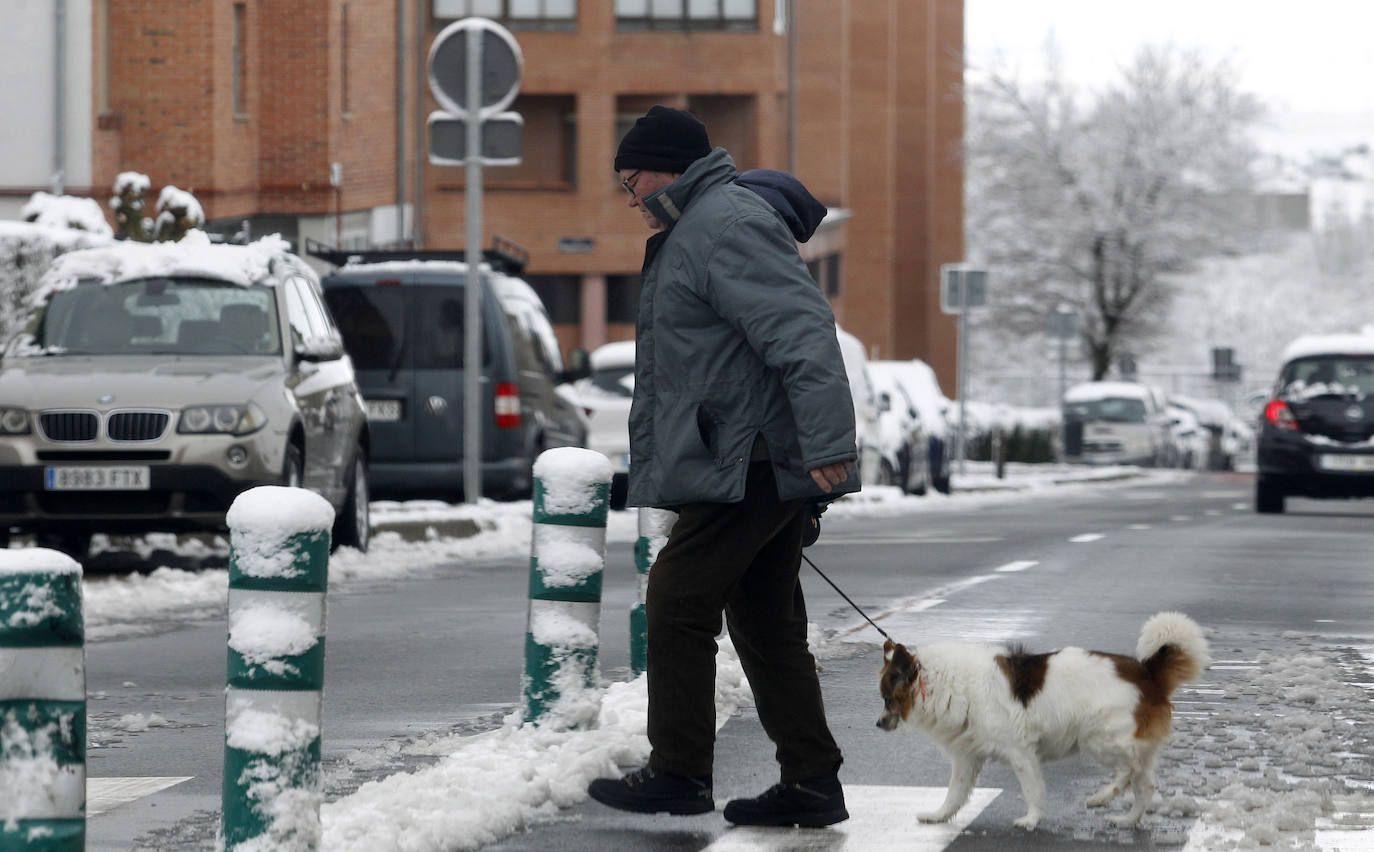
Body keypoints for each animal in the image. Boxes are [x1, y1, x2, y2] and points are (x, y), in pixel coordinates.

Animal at [879, 615, 1203, 830]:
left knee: (1127, 770)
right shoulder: (967, 758)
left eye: (887, 699)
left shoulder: (1020, 753)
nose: (878, 724)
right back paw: (1127, 819)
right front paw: (939, 816)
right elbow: (954, 793)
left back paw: (1101, 797)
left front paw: (1032, 819)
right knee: (1144, 785)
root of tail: (1147, 672)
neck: (939, 682)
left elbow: (1032, 790)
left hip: (1098, 738)